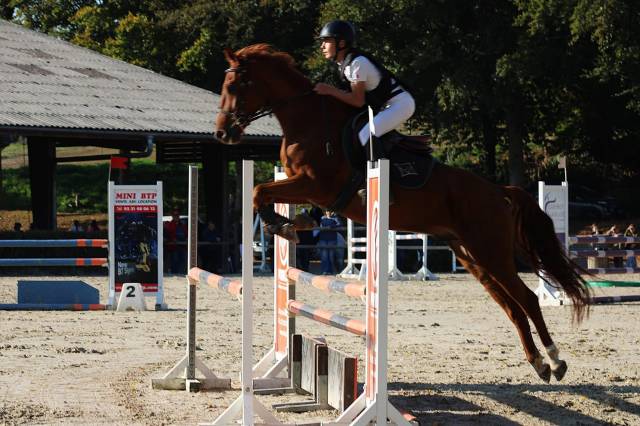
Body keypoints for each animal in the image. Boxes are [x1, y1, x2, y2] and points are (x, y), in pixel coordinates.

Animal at [214, 44, 591, 383]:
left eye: (234, 86)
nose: (222, 132)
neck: (307, 121)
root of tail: (499, 192)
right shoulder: (303, 185)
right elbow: (263, 194)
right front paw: (291, 223)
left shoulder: (313, 183)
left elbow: (258, 191)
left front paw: (280, 224)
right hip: (472, 257)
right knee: (512, 307)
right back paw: (539, 364)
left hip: (491, 252)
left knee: (527, 298)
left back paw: (556, 360)